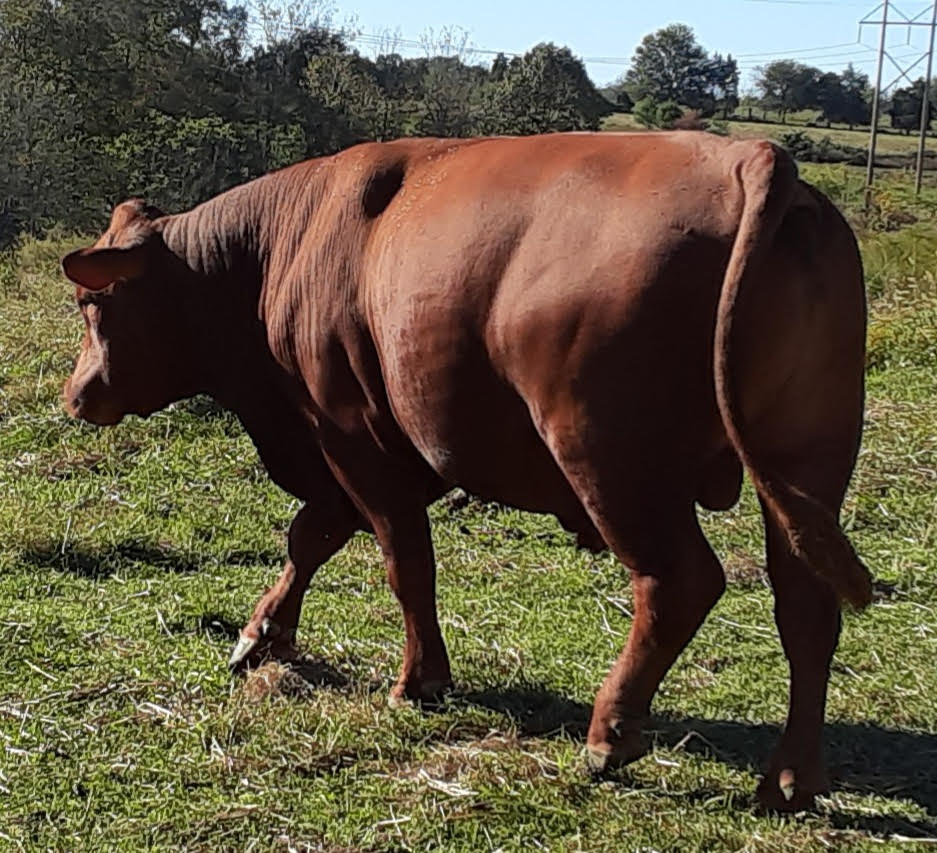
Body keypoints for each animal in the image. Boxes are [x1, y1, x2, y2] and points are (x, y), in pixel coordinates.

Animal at [60, 132, 872, 811]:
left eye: (92, 304)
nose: (76, 395)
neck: (278, 250)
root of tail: (748, 156)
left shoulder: (351, 434)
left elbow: (403, 563)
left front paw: (417, 680)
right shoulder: (385, 449)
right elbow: (310, 536)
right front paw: (261, 633)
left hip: (609, 460)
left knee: (680, 583)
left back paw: (610, 735)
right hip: (807, 463)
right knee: (806, 606)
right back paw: (791, 776)